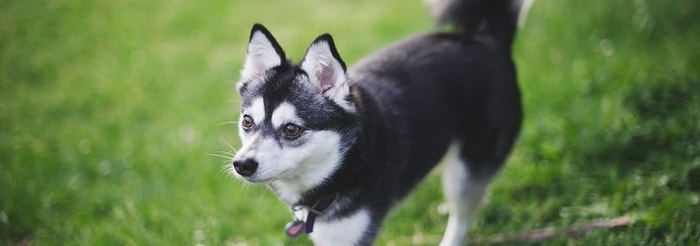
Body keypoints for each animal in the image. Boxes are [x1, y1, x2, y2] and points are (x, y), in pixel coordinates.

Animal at [230, 0, 524, 244]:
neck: (343, 161)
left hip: (467, 168)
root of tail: (487, 41)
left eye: (291, 129)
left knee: (464, 216)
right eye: (247, 122)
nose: (242, 164)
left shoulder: (351, 236)